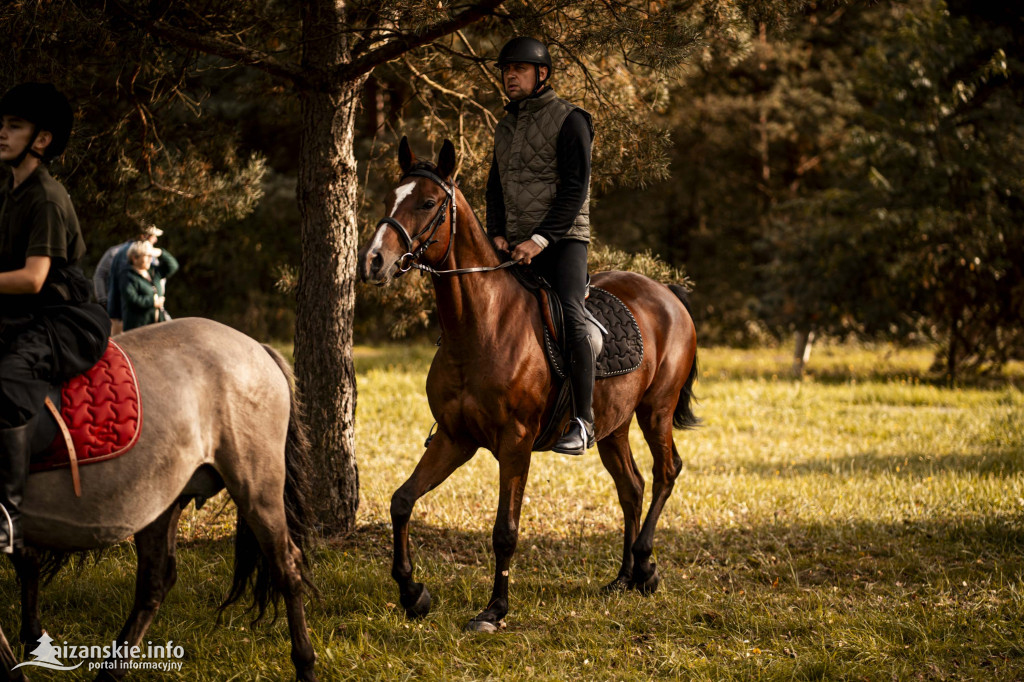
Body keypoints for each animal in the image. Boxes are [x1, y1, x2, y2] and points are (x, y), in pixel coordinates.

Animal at [0, 315, 315, 675]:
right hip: (160, 499)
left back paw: (305, 663)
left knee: (286, 567)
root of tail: (259, 349)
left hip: (257, 487)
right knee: (155, 583)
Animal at [356, 138, 700, 630]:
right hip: (613, 426)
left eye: (427, 202)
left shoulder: (515, 443)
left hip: (657, 412)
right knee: (631, 488)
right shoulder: (454, 439)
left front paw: (494, 610)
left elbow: (505, 530)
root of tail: (668, 293)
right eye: (391, 198)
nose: (373, 262)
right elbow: (402, 501)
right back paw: (623, 577)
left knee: (665, 472)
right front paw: (413, 593)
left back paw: (646, 566)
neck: (479, 327)